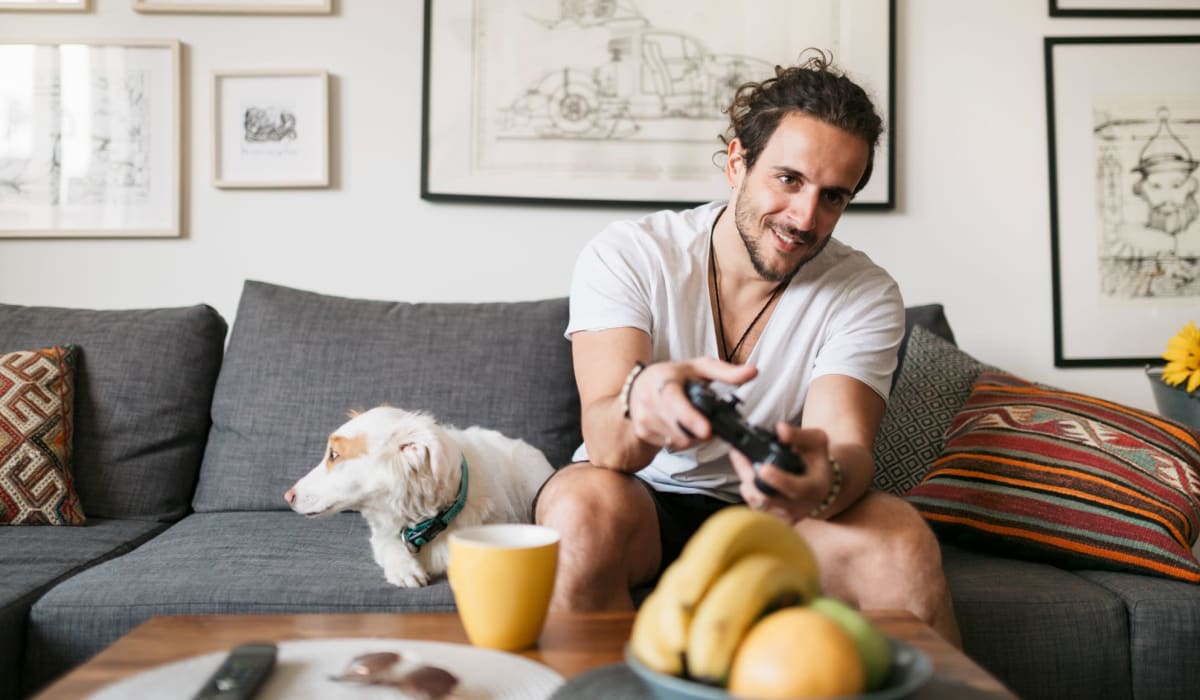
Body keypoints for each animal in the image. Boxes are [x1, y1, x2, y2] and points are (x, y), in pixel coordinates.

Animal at [283, 408, 554, 588]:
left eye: (334, 455)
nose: (287, 496)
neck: (428, 522)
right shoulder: (382, 535)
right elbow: (390, 546)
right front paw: (405, 569)